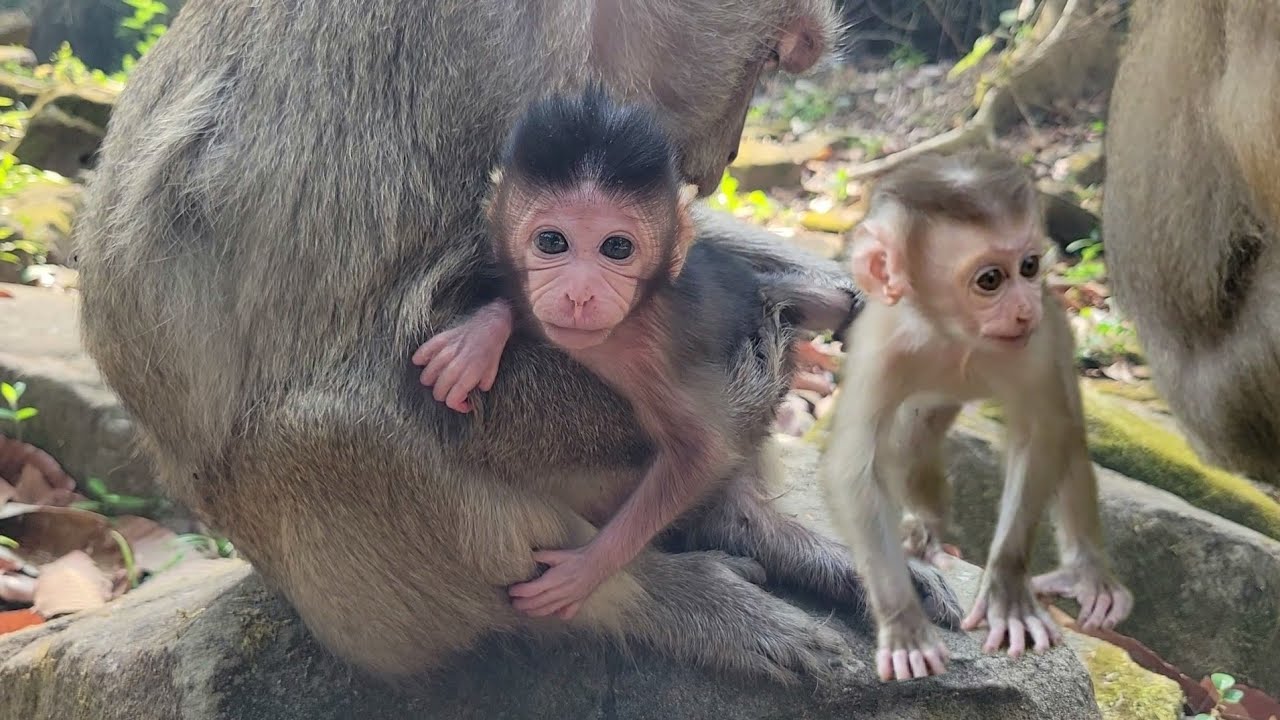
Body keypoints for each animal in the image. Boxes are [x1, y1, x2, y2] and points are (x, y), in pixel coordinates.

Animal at [74, 0, 964, 685]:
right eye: (777, 54)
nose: (725, 158)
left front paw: (814, 287)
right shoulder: (472, 55)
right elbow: (409, 339)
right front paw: (761, 376)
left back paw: (770, 536)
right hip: (345, 605)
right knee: (320, 440)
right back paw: (669, 597)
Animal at [819, 149, 1133, 682]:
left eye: (1029, 266)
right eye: (990, 280)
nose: (1026, 305)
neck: (955, 336)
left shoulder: (1038, 343)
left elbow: (1043, 433)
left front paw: (1008, 590)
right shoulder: (882, 348)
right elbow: (854, 468)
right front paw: (904, 623)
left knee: (1067, 429)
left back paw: (1087, 572)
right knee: (913, 434)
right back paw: (925, 531)